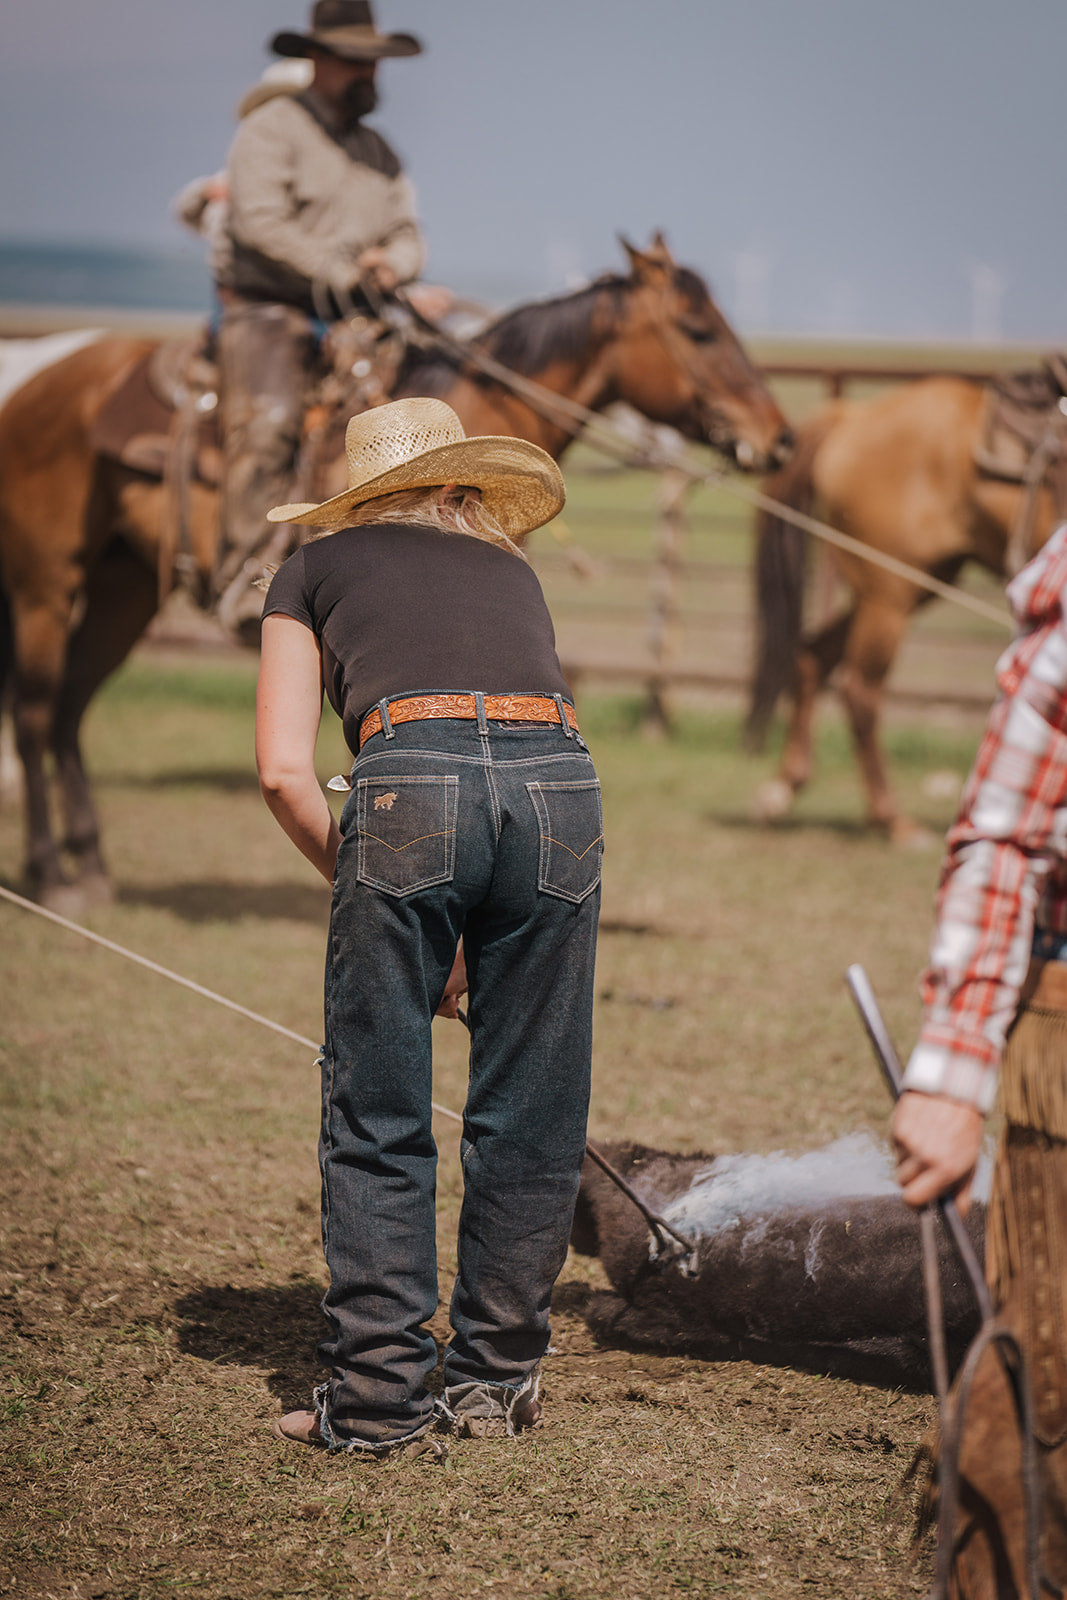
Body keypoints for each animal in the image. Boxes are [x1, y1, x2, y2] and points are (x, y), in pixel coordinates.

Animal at [0, 235, 790, 915]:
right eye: (697, 329)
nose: (777, 437)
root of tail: (42, 380)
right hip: (45, 584)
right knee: (37, 711)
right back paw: (48, 871)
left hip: (124, 588)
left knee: (69, 708)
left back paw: (91, 865)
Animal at [742, 379, 1062, 844]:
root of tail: (852, 416)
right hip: (889, 592)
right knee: (861, 689)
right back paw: (893, 819)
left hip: (895, 588)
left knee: (813, 656)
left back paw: (782, 790)